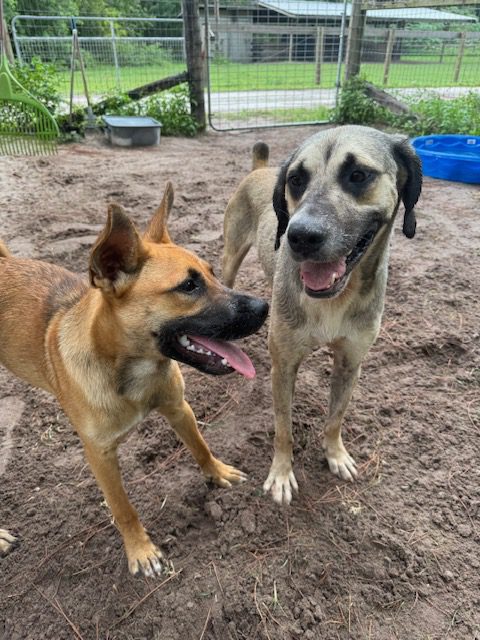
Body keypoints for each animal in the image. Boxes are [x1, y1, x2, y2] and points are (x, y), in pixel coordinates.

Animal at [0, 182, 268, 576]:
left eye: (213, 273)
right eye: (188, 286)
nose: (265, 307)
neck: (132, 373)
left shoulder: (178, 408)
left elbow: (200, 446)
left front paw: (217, 472)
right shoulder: (100, 455)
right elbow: (123, 508)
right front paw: (140, 550)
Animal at [221, 125, 420, 504]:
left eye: (358, 175)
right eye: (296, 180)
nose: (300, 236)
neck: (333, 299)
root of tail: (259, 169)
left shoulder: (350, 362)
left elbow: (335, 418)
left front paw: (335, 455)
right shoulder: (283, 366)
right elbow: (283, 427)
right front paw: (281, 474)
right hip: (230, 257)